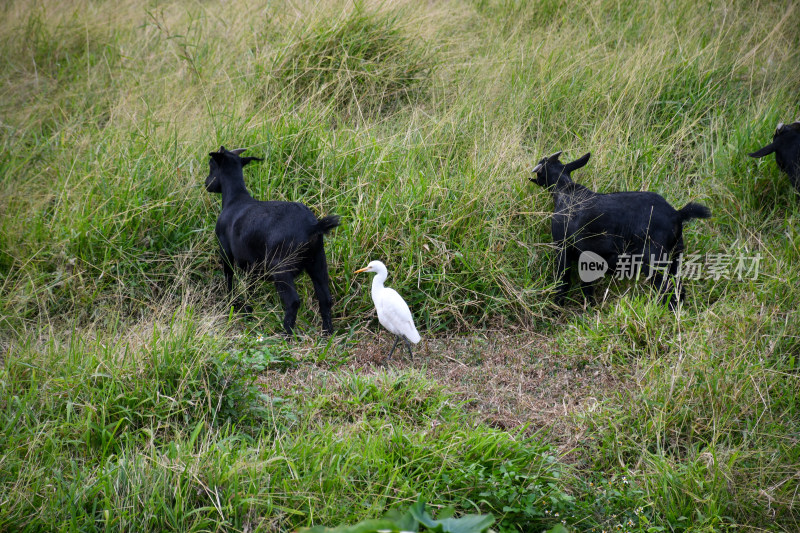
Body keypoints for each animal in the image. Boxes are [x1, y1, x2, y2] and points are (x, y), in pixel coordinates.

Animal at [205, 145, 340, 334]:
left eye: (211, 165)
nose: (207, 183)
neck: (235, 199)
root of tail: (312, 226)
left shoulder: (225, 250)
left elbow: (229, 277)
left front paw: (231, 303)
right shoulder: (252, 264)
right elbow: (251, 286)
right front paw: (249, 309)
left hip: (282, 267)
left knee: (293, 301)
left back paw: (286, 335)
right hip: (318, 261)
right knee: (325, 298)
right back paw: (328, 333)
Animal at [532, 150, 712, 308]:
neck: (565, 190)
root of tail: (677, 214)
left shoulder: (562, 248)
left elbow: (563, 282)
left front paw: (557, 307)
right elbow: (586, 287)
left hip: (655, 258)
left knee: (666, 287)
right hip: (675, 256)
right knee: (678, 288)